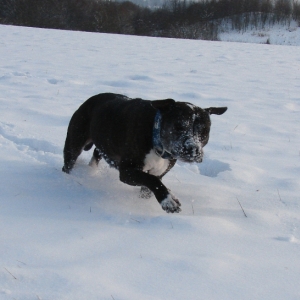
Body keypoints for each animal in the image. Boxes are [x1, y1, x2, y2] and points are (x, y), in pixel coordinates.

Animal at [63, 94, 227, 213]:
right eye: (179, 126)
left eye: (204, 131)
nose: (193, 149)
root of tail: (91, 99)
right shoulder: (127, 171)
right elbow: (151, 180)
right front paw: (168, 200)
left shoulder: (159, 172)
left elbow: (150, 186)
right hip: (74, 143)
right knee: (69, 162)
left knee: (97, 154)